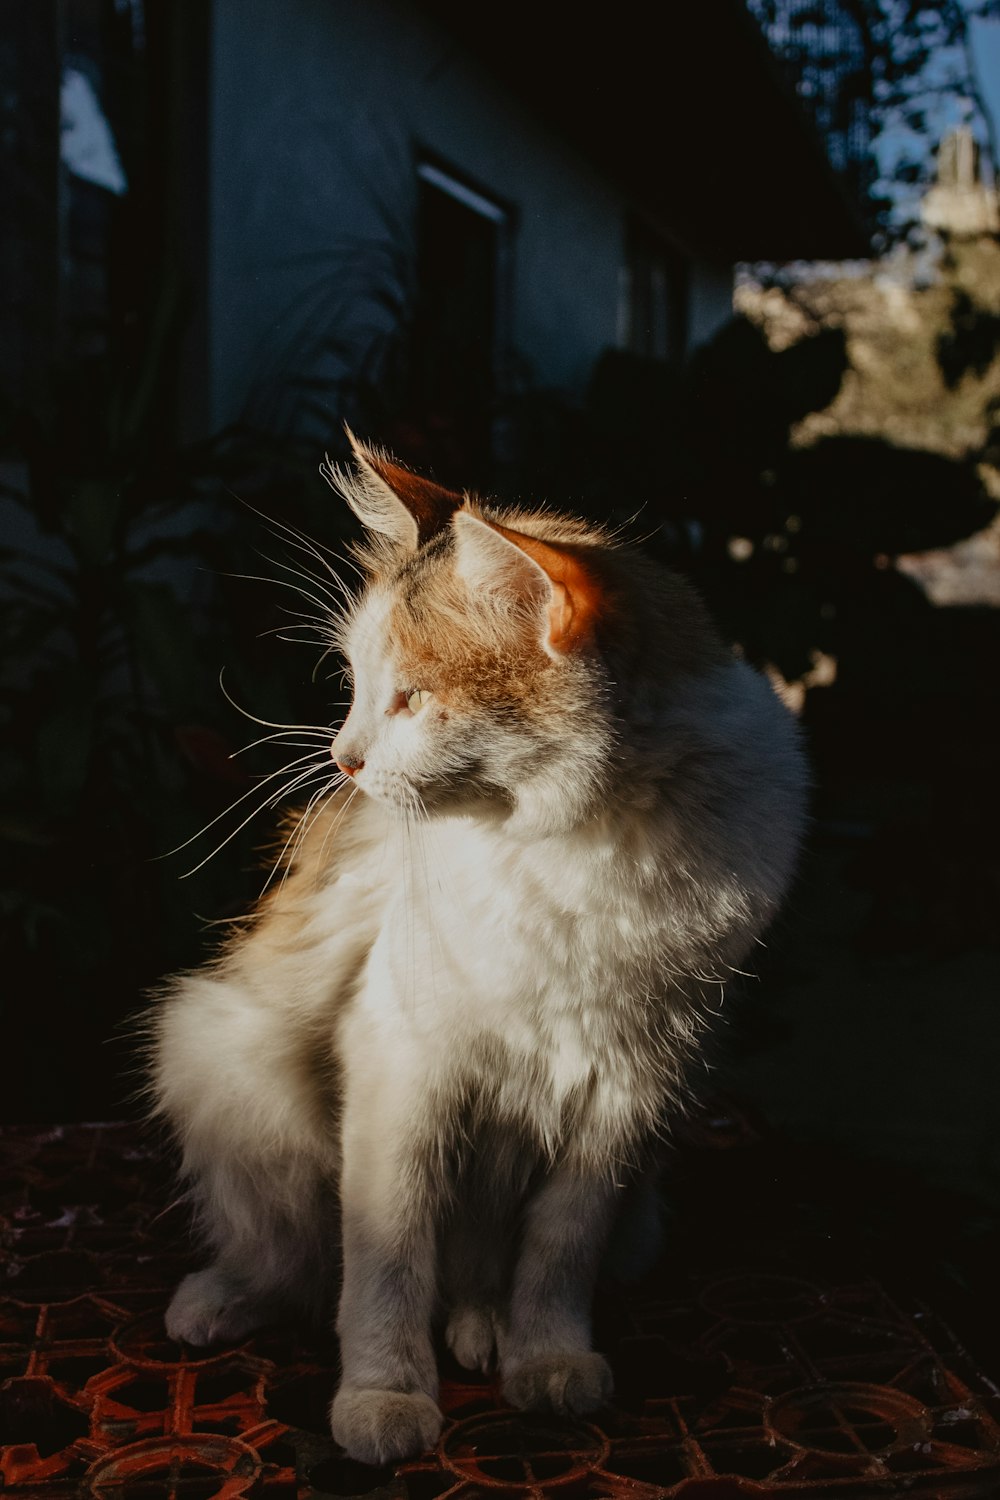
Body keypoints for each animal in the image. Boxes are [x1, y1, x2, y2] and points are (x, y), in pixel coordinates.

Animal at [146, 435, 803, 1464]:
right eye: (358, 686)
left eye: (413, 699)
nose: (342, 760)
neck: (582, 846)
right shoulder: (402, 1069)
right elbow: (386, 1265)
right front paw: (385, 1397)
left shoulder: (624, 1096)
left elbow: (557, 1258)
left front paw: (547, 1362)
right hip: (228, 1066)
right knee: (290, 1258)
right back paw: (220, 1301)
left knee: (477, 1276)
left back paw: (484, 1327)